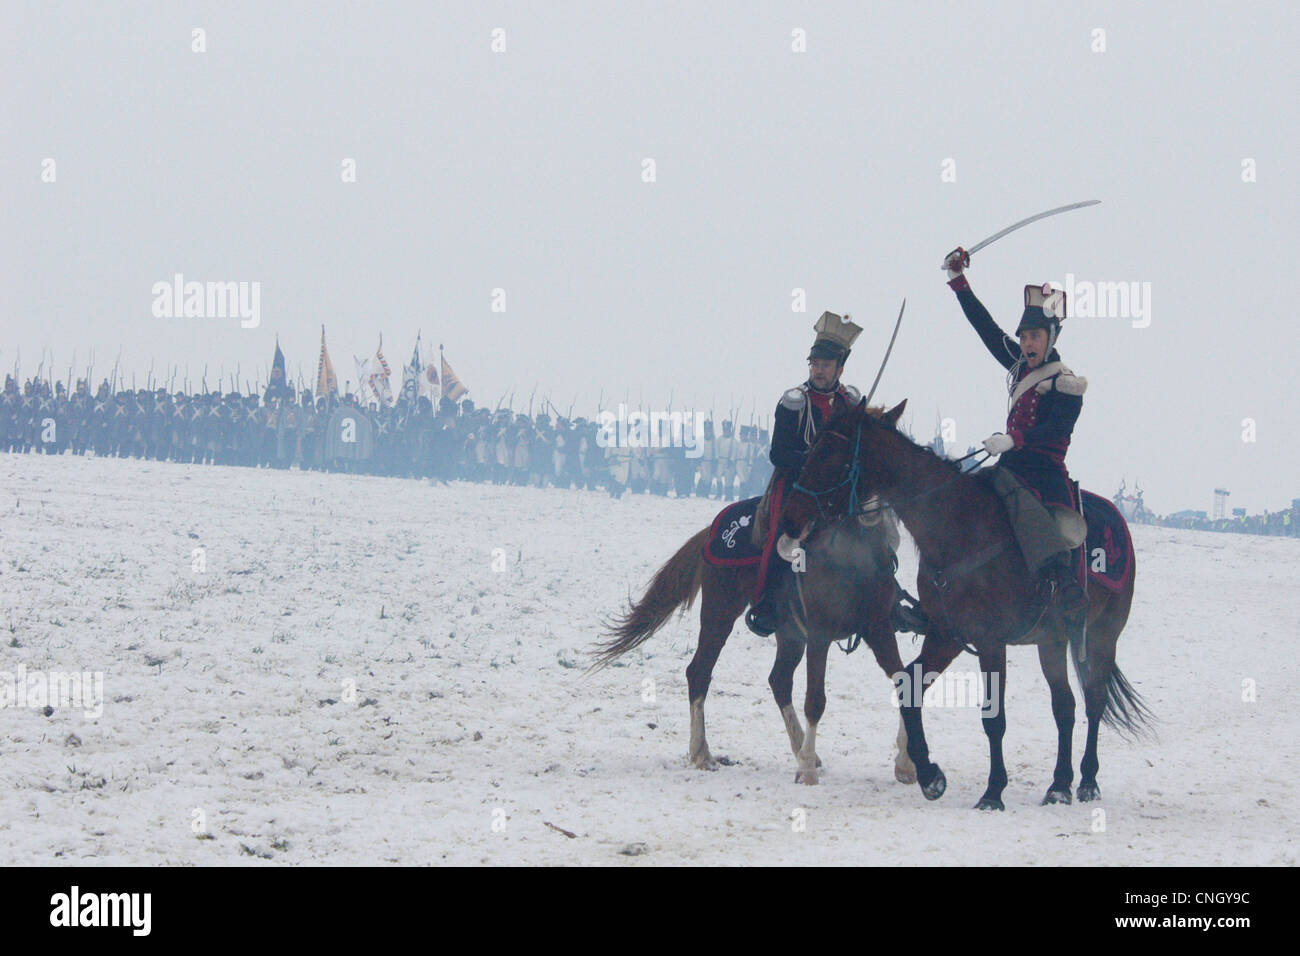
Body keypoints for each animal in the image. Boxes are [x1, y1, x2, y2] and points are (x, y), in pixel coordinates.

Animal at [774, 400, 1154, 811]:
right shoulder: (948, 635)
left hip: (1102, 636)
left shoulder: (990, 641)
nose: (790, 517)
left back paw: (1087, 782)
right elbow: (909, 686)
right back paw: (1059, 785)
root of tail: (1117, 518)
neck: (959, 529)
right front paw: (928, 774)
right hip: (1051, 641)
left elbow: (993, 717)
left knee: (1094, 700)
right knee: (1064, 707)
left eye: (832, 452)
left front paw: (992, 791)